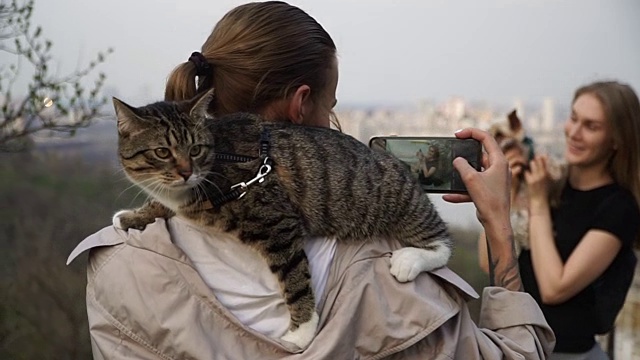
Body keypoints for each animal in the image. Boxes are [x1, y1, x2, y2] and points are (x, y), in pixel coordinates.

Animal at [112, 89, 452, 348]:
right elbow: (162, 202)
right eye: (162, 152)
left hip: (395, 198)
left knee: (441, 241)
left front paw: (302, 330)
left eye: (195, 149)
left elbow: (295, 277)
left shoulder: (276, 222)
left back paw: (411, 259)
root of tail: (394, 161)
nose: (186, 171)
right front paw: (134, 215)